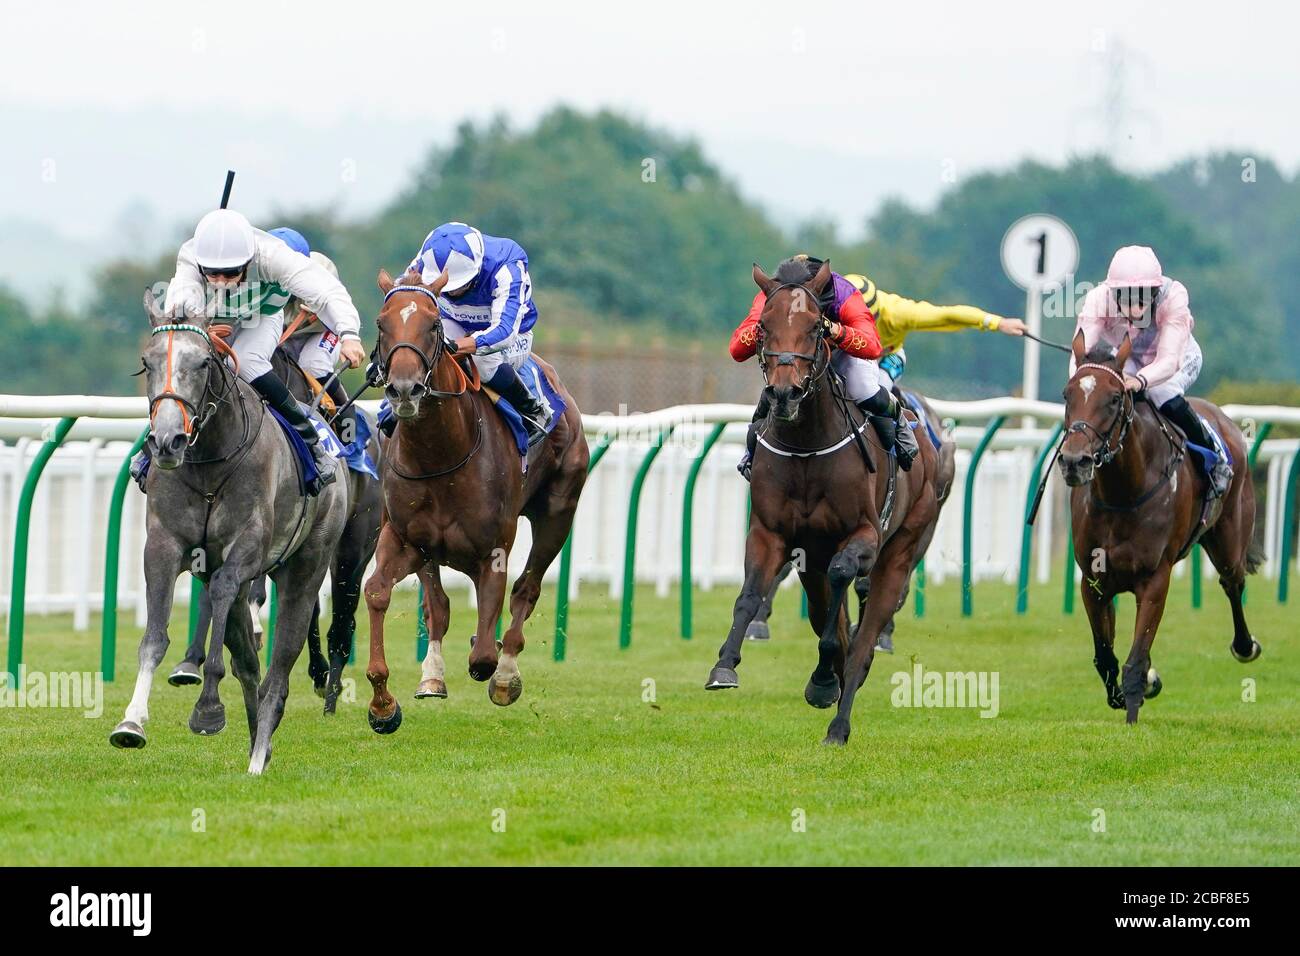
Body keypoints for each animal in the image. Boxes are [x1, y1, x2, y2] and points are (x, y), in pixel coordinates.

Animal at [109, 293, 348, 780]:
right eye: (147, 362)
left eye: (202, 362)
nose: (167, 440)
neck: (209, 463)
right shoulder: (162, 546)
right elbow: (155, 636)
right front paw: (132, 721)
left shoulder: (245, 549)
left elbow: (220, 596)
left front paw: (207, 709)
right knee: (250, 662)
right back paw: (259, 741)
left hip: (307, 567)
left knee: (279, 669)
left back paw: (259, 753)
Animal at [167, 348, 382, 712]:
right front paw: (191, 661)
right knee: (313, 608)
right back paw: (318, 672)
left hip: (356, 545)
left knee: (343, 617)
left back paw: (332, 691)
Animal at [358, 265, 587, 728]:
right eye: (381, 323)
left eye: (433, 325)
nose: (404, 389)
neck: (441, 453)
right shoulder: (406, 538)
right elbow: (378, 592)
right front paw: (383, 703)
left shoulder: (493, 550)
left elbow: (483, 653)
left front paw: (497, 667)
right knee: (438, 604)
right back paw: (432, 674)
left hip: (558, 514)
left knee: (526, 591)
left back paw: (507, 671)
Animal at [702, 261, 946, 749]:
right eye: (762, 325)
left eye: (817, 326)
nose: (784, 394)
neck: (807, 445)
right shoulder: (770, 533)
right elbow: (749, 595)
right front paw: (725, 664)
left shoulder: (864, 534)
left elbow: (841, 590)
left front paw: (825, 677)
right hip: (810, 560)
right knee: (825, 613)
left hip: (904, 544)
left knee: (865, 630)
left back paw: (839, 720)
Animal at [1060, 330, 1263, 723]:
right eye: (1067, 394)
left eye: (1114, 398)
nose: (1075, 461)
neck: (1123, 492)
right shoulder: (1093, 580)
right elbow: (1105, 657)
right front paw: (1127, 694)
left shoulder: (1155, 578)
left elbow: (1135, 662)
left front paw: (1133, 712)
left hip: (1229, 538)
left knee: (1233, 582)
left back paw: (1245, 646)